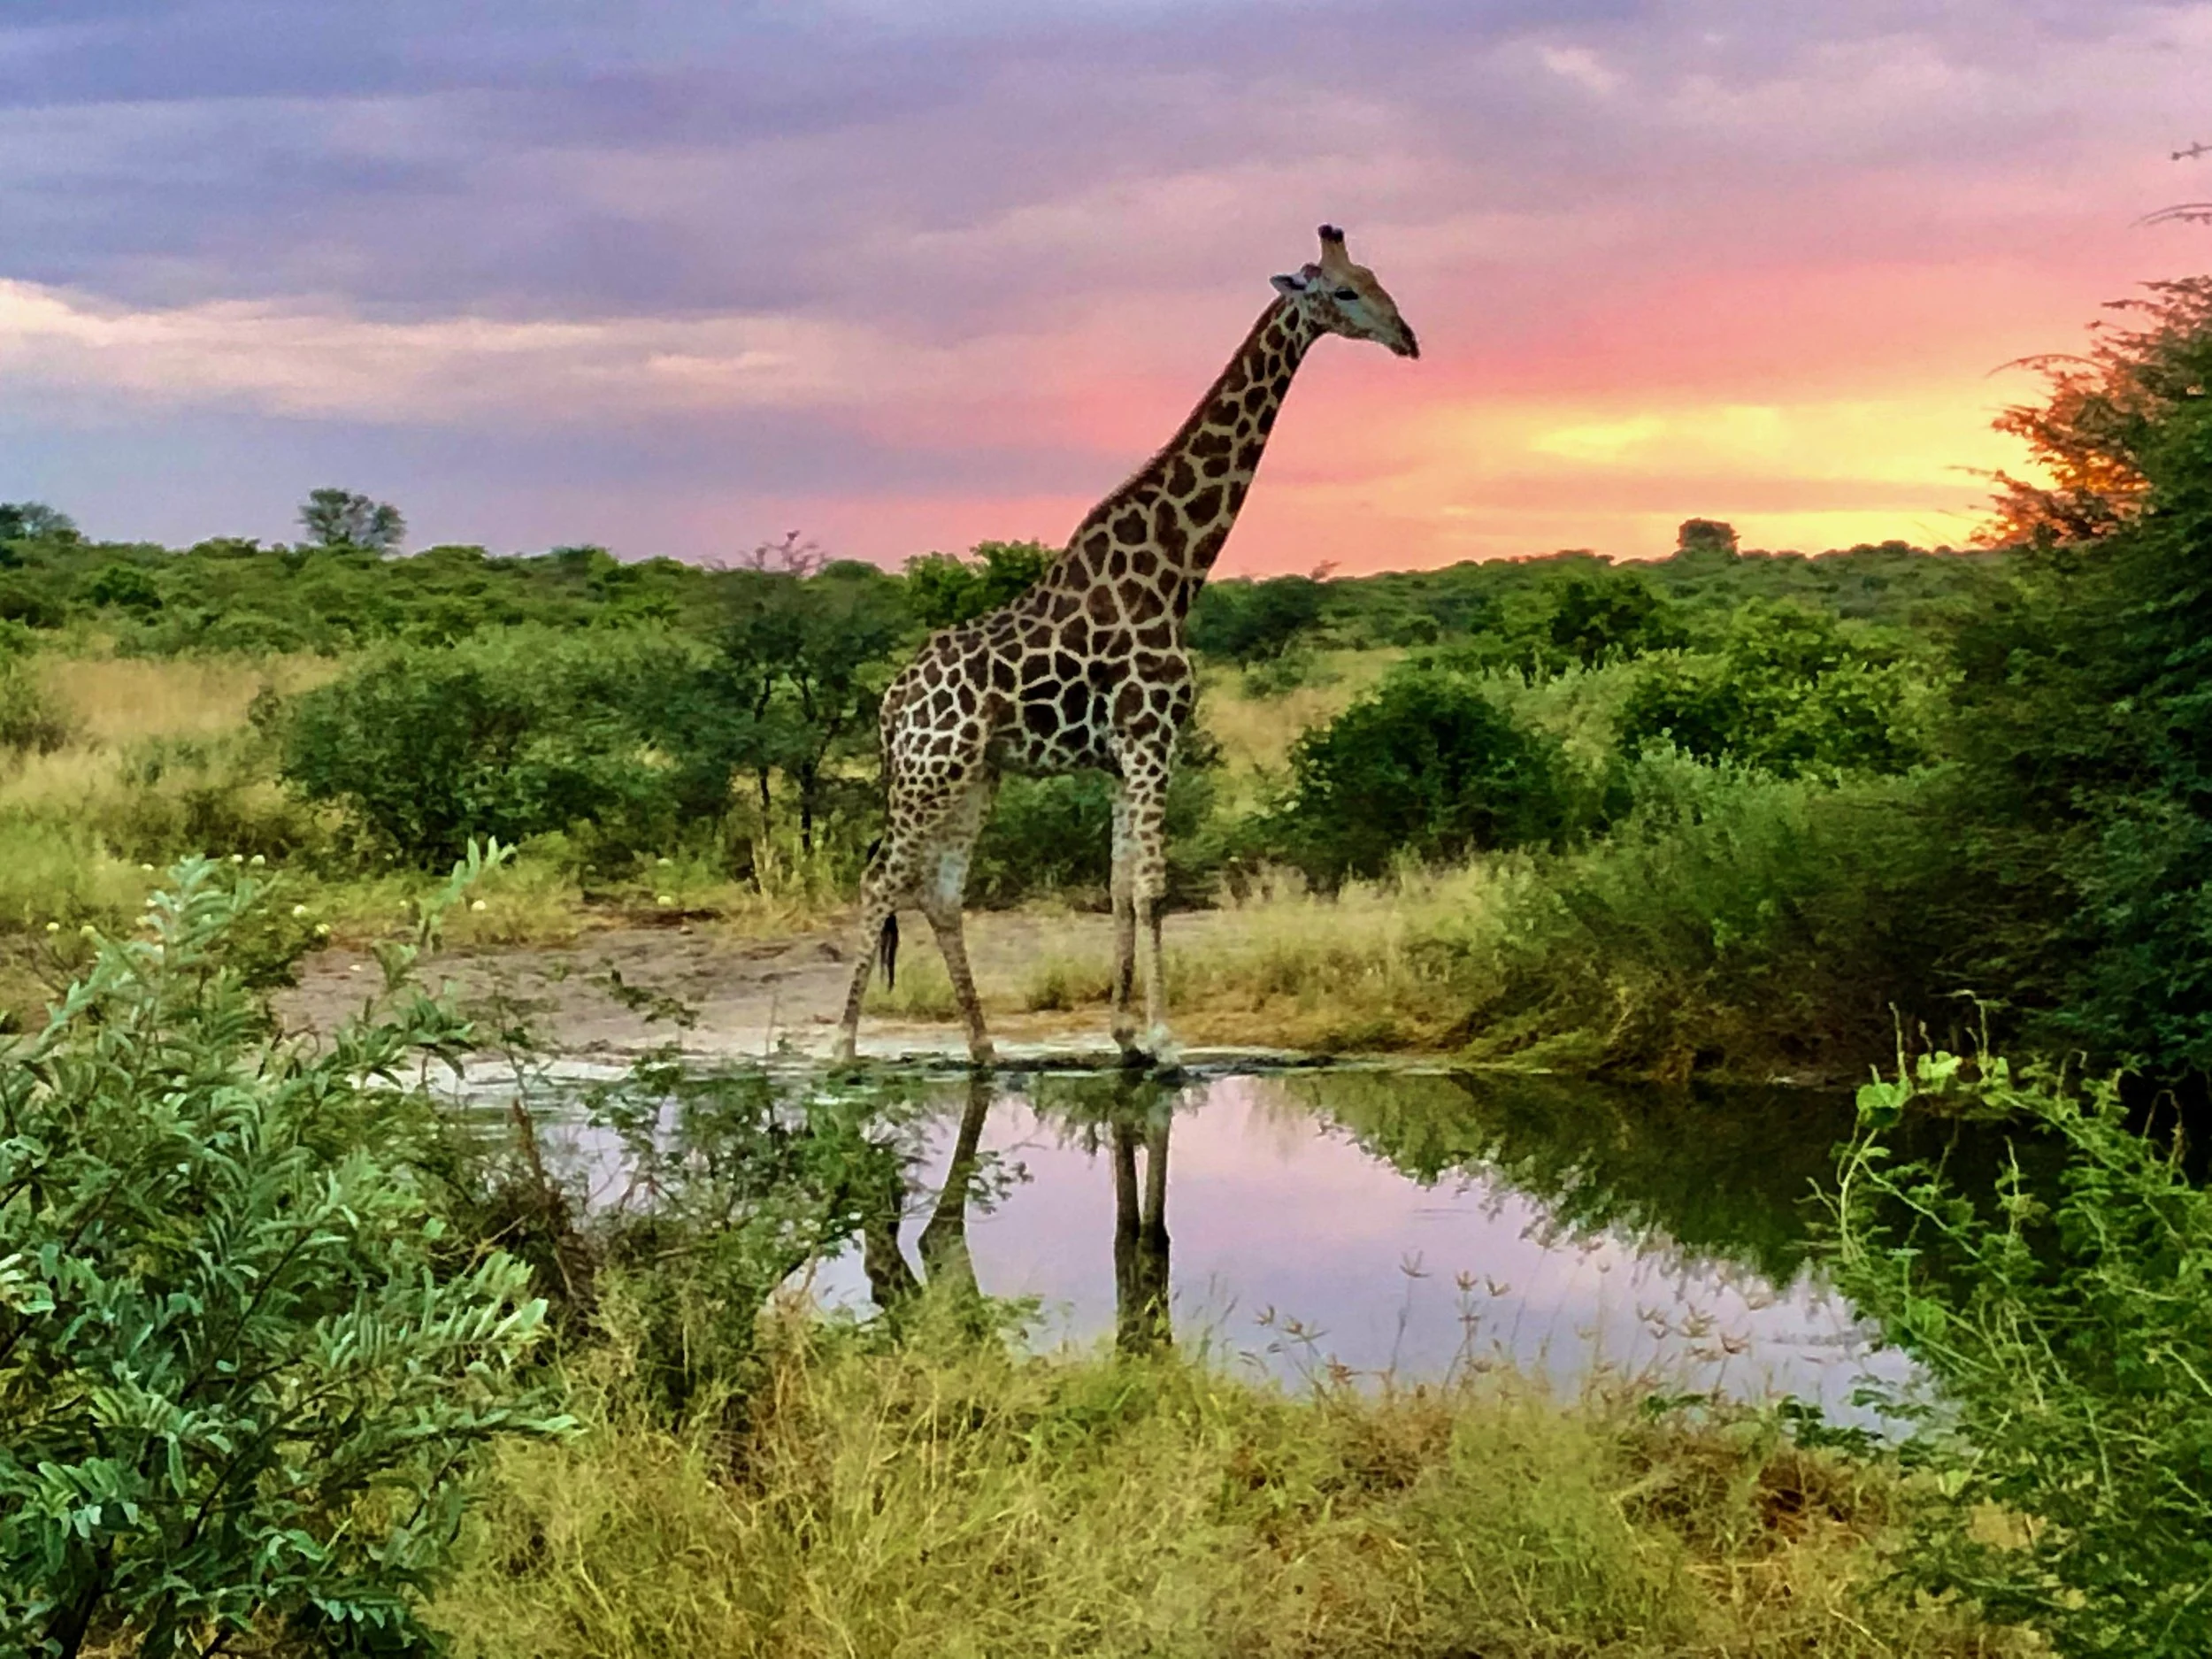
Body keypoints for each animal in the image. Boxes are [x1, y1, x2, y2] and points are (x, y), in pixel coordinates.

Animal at [834, 224, 1419, 1066]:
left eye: (1375, 278)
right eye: (1343, 291)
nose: (1408, 338)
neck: (1177, 571)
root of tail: (890, 704)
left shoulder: (1120, 757)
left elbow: (1116, 886)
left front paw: (1124, 1037)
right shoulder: (1152, 738)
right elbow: (1152, 885)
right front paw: (1166, 1037)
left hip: (975, 774)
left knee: (940, 891)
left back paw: (983, 1047)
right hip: (929, 771)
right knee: (882, 877)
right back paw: (843, 1046)